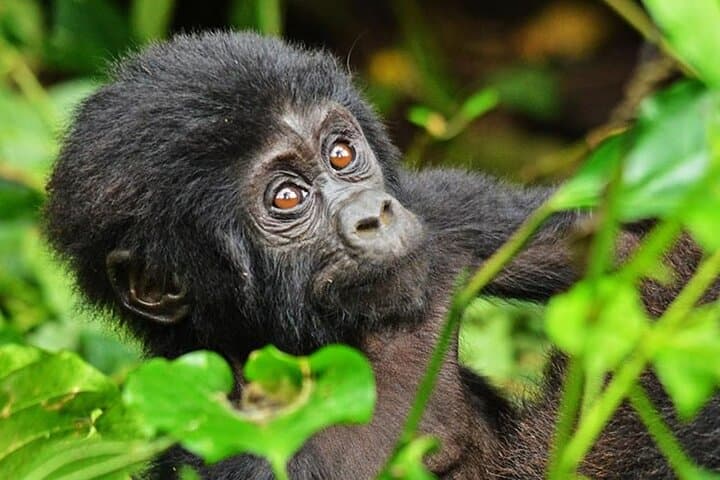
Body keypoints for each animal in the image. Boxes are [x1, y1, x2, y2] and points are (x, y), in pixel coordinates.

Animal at [44, 32, 719, 479]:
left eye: (342, 154)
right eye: (286, 197)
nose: (374, 214)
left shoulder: (443, 216)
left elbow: (628, 250)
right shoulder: (234, 451)